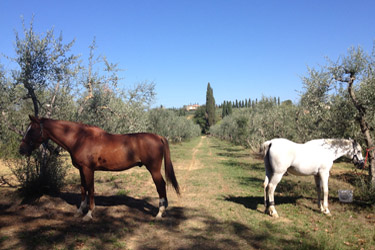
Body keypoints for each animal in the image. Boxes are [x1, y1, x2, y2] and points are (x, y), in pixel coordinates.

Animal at [19, 114, 181, 220]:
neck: (79, 139)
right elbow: (83, 189)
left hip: (154, 170)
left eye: (31, 130)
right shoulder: (81, 170)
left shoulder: (88, 169)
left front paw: (89, 214)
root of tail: (158, 136)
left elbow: (91, 189)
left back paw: (159, 213)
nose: (22, 150)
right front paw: (80, 211)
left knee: (161, 186)